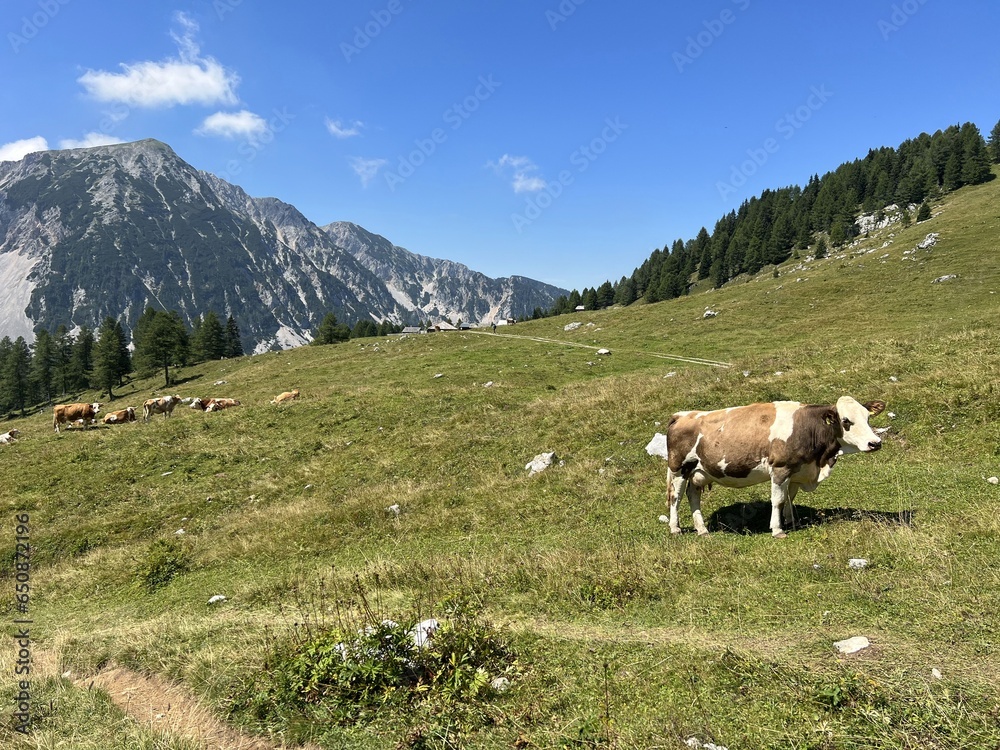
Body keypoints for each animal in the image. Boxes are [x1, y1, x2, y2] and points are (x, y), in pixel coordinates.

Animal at [649, 397, 886, 538]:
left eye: (867, 417)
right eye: (846, 421)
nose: (875, 443)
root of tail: (682, 414)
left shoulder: (796, 470)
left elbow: (789, 497)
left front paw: (791, 521)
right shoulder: (780, 468)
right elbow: (778, 500)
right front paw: (778, 529)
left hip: (698, 472)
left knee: (693, 496)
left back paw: (702, 529)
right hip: (679, 468)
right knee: (676, 497)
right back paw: (675, 528)